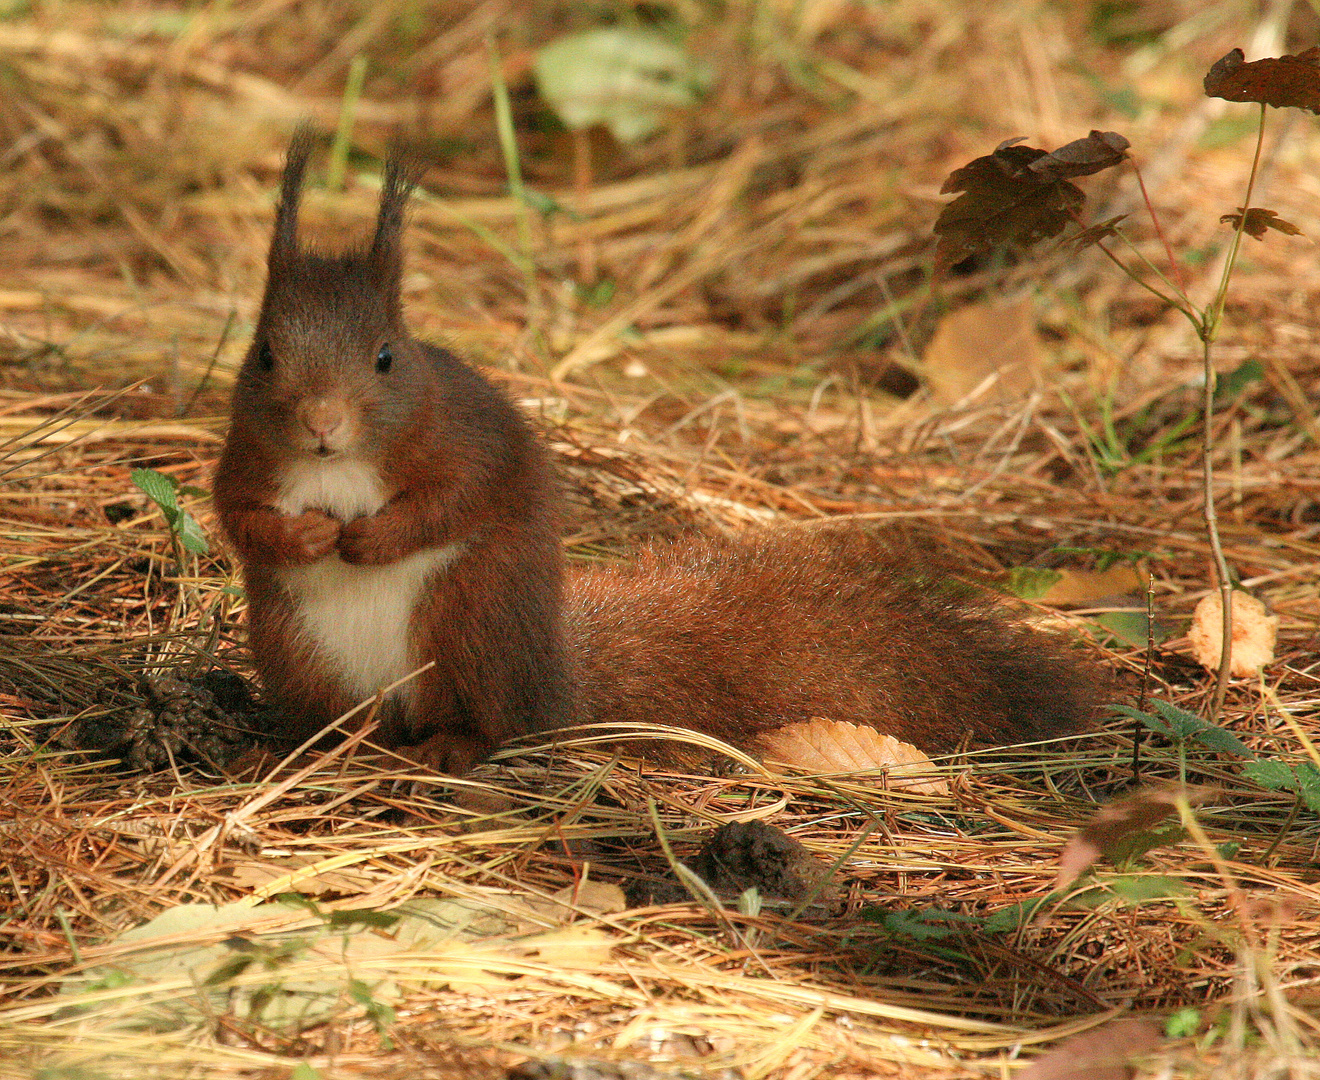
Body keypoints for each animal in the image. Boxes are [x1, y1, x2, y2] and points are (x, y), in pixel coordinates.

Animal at [213, 134, 1103, 776]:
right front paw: (303, 537)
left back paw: (452, 744)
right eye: (264, 354)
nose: (323, 422)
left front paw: (372, 537)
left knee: (499, 727)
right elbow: (239, 516)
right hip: (299, 651)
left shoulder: (465, 438)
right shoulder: (246, 459)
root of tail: (555, 684)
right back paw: (312, 748)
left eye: (387, 358)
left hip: (474, 627)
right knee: (346, 721)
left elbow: (456, 499)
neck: (337, 470)